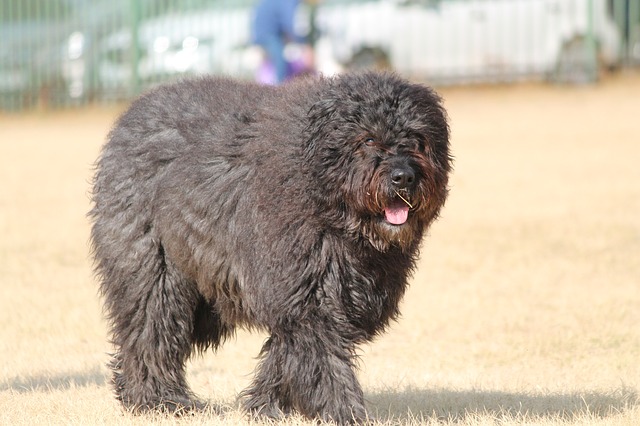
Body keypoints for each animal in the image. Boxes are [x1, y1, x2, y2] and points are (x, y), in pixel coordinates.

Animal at [89, 71, 450, 424]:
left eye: (417, 139)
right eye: (368, 139)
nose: (403, 176)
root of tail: (133, 113)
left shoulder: (315, 297)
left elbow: (285, 356)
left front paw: (264, 405)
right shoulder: (307, 297)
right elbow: (323, 361)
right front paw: (344, 412)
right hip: (154, 271)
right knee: (149, 332)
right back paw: (159, 400)